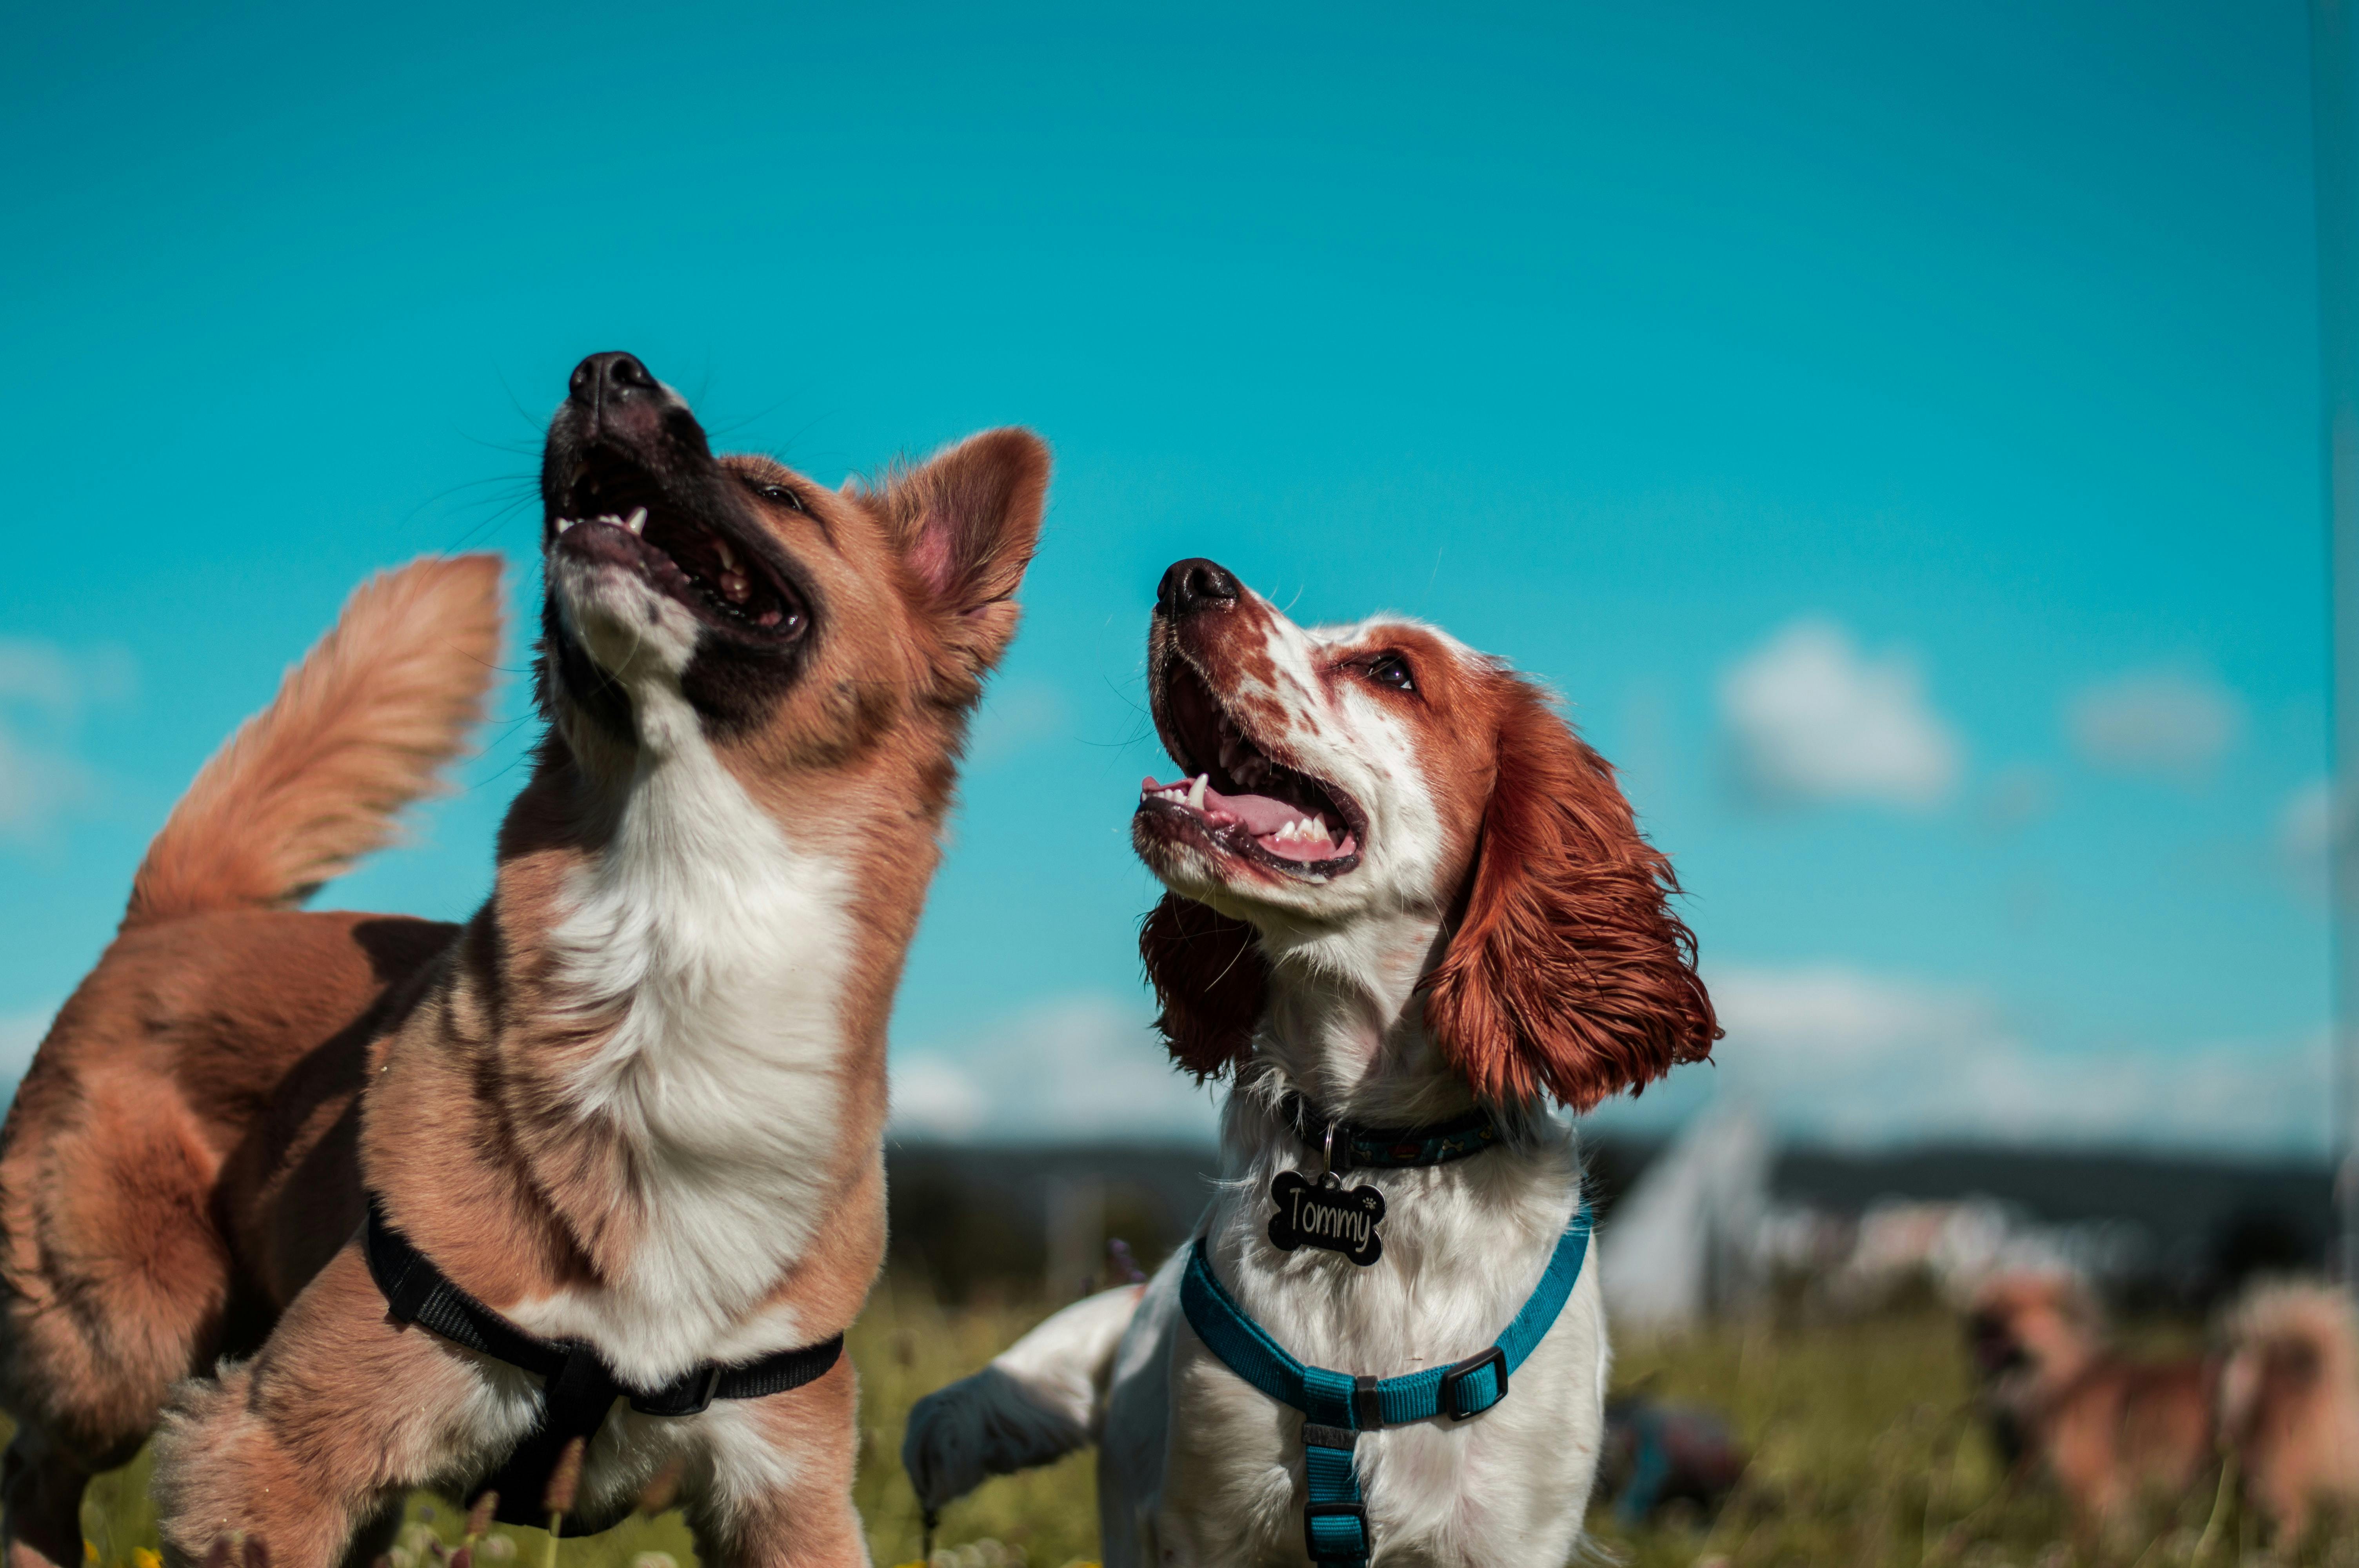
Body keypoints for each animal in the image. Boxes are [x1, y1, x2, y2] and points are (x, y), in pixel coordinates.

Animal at [0, 354, 1052, 1565]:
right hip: (123, 1345)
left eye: (778, 496)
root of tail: (179, 914)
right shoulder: (274, 1448)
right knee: (36, 1465)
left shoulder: (790, 1492)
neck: (679, 917)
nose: (606, 369)